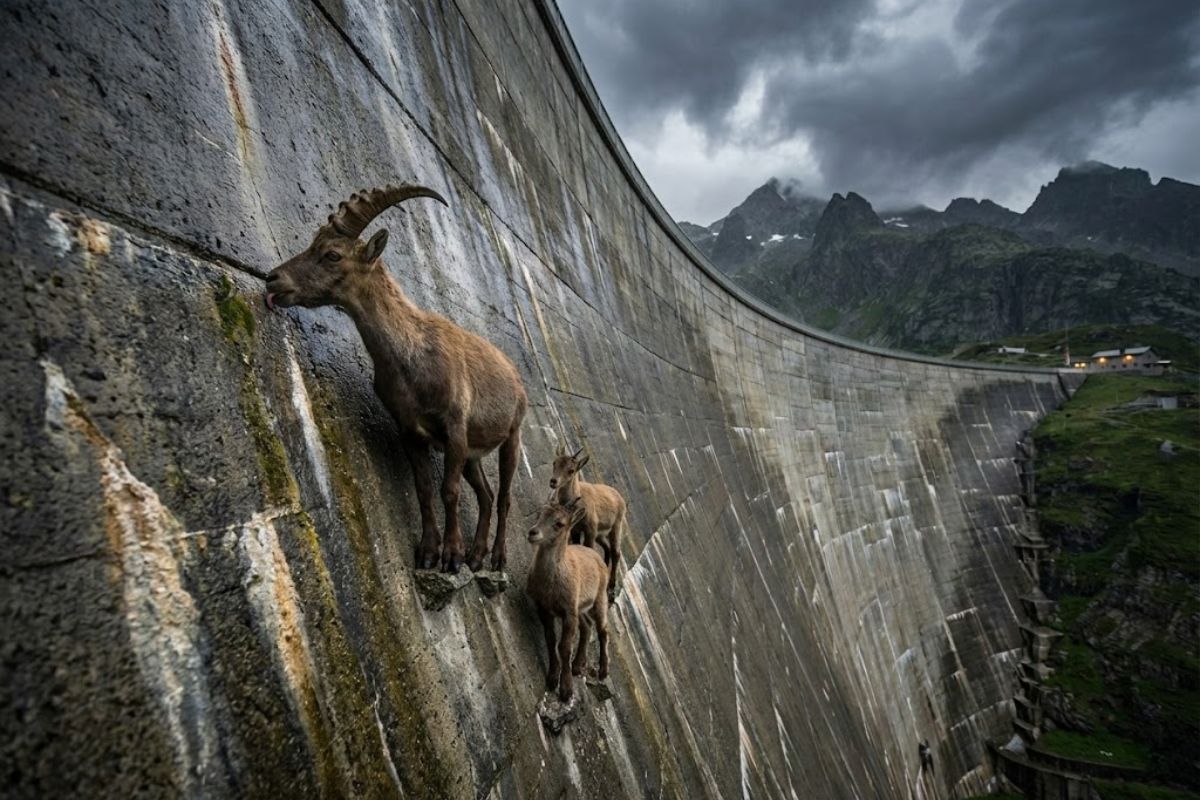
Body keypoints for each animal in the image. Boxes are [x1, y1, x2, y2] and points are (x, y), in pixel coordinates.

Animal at [265, 185, 527, 573]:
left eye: (332, 254)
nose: (272, 279)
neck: (410, 356)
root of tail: (515, 375)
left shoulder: (454, 426)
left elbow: (449, 491)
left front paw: (451, 555)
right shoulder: (410, 431)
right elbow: (424, 490)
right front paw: (428, 552)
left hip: (512, 434)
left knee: (505, 496)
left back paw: (496, 558)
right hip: (474, 453)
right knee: (486, 493)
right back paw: (477, 556)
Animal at [526, 497, 609, 702]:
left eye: (559, 523)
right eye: (539, 514)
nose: (533, 533)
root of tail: (595, 554)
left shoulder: (568, 612)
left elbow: (564, 647)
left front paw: (566, 690)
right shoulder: (544, 607)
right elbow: (551, 639)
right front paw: (552, 678)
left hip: (599, 599)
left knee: (603, 630)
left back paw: (603, 671)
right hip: (581, 606)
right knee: (587, 626)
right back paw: (578, 665)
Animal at [549, 444, 625, 600]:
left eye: (571, 470)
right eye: (555, 463)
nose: (553, 481)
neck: (577, 498)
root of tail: (619, 496)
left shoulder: (590, 528)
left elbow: (588, 547)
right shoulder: (575, 529)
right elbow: (578, 544)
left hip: (616, 526)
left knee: (616, 552)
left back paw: (611, 589)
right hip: (600, 534)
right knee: (607, 548)